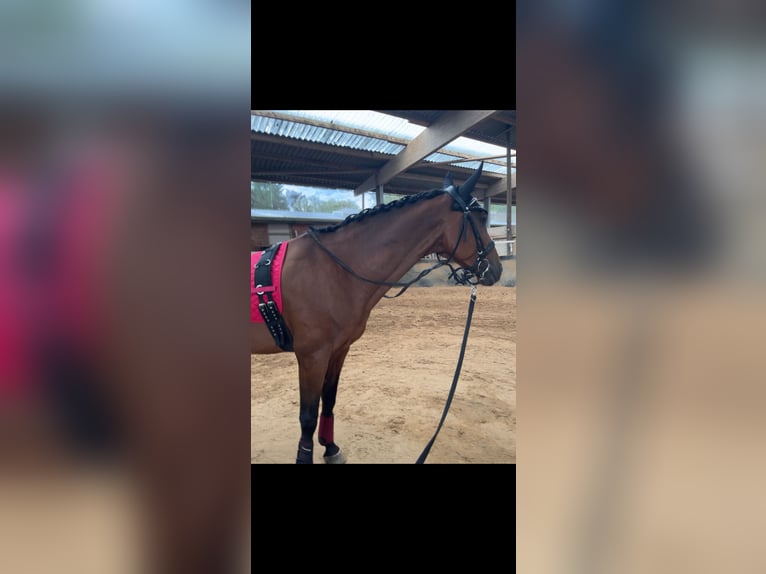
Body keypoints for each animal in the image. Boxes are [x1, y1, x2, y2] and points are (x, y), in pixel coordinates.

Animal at [251, 162, 504, 464]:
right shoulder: (312, 357)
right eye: (479, 218)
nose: (496, 269)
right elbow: (308, 417)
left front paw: (331, 448)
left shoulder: (338, 351)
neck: (331, 270)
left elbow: (329, 400)